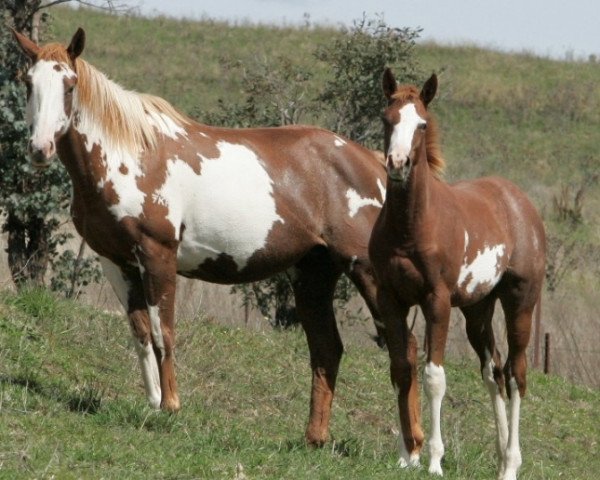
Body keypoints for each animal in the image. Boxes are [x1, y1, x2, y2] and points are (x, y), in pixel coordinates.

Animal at [12, 27, 390, 446]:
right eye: (28, 83)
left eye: (69, 85)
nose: (39, 149)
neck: (129, 156)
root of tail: (373, 162)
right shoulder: (115, 261)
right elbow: (140, 333)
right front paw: (152, 403)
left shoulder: (158, 256)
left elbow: (164, 333)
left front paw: (171, 406)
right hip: (312, 275)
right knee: (327, 351)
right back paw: (315, 439)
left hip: (368, 273)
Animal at [368, 68, 548, 480]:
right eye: (387, 119)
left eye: (421, 123)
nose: (397, 163)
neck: (412, 227)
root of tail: (521, 204)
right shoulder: (390, 299)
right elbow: (401, 370)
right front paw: (407, 456)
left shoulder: (436, 301)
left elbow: (434, 377)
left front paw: (434, 461)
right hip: (477, 309)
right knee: (493, 371)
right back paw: (500, 461)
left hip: (520, 303)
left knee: (516, 374)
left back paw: (511, 465)